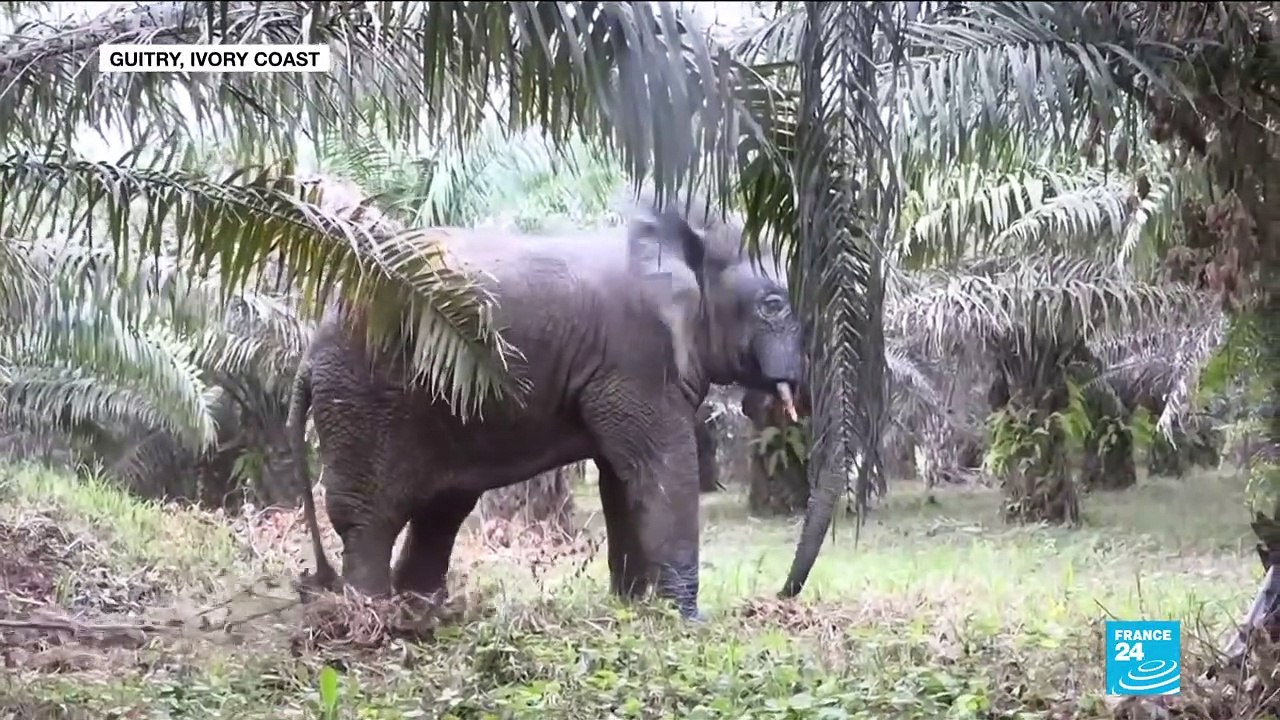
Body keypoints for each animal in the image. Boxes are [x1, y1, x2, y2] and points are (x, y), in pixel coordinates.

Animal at [287, 189, 806, 620]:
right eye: (774, 304)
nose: (780, 597)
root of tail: (309, 355)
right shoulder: (637, 356)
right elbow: (661, 468)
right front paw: (689, 623)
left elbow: (621, 480)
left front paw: (632, 612)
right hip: (367, 396)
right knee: (371, 516)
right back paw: (371, 620)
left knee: (441, 509)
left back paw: (424, 614)